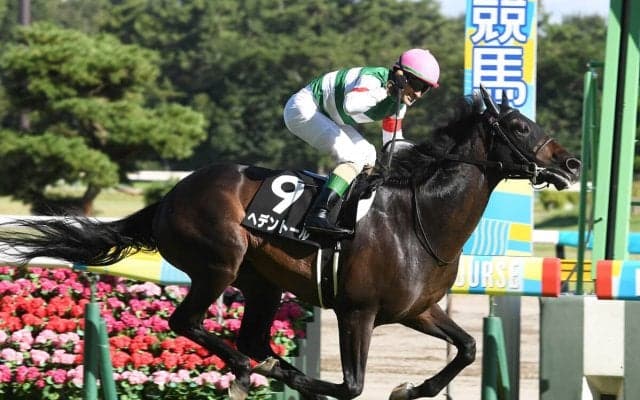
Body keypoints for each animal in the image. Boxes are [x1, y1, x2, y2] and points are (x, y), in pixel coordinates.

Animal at [0, 87, 580, 400]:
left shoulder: (417, 309)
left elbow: (467, 348)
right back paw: (245, 369)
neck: (419, 221)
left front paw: (409, 388)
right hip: (218, 264)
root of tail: (170, 196)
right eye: (519, 126)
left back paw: (263, 364)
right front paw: (299, 379)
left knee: (253, 337)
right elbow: (349, 386)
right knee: (188, 323)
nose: (572, 163)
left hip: (261, 284)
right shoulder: (357, 311)